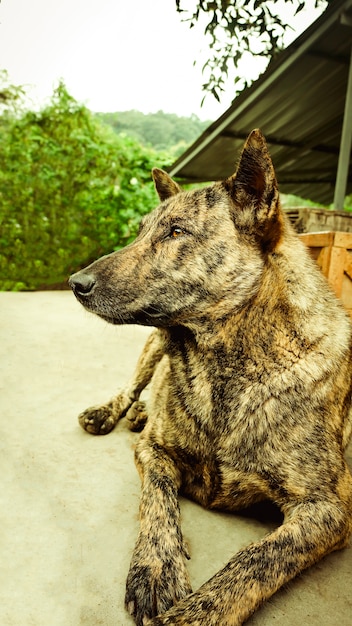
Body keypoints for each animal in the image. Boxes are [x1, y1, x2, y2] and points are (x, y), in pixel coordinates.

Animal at [69, 129, 352, 620]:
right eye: (141, 232)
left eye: (176, 232)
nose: (75, 283)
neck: (227, 363)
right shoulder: (154, 450)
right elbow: (157, 498)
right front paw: (157, 565)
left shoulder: (328, 509)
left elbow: (256, 559)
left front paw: (191, 615)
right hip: (153, 343)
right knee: (132, 386)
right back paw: (114, 411)